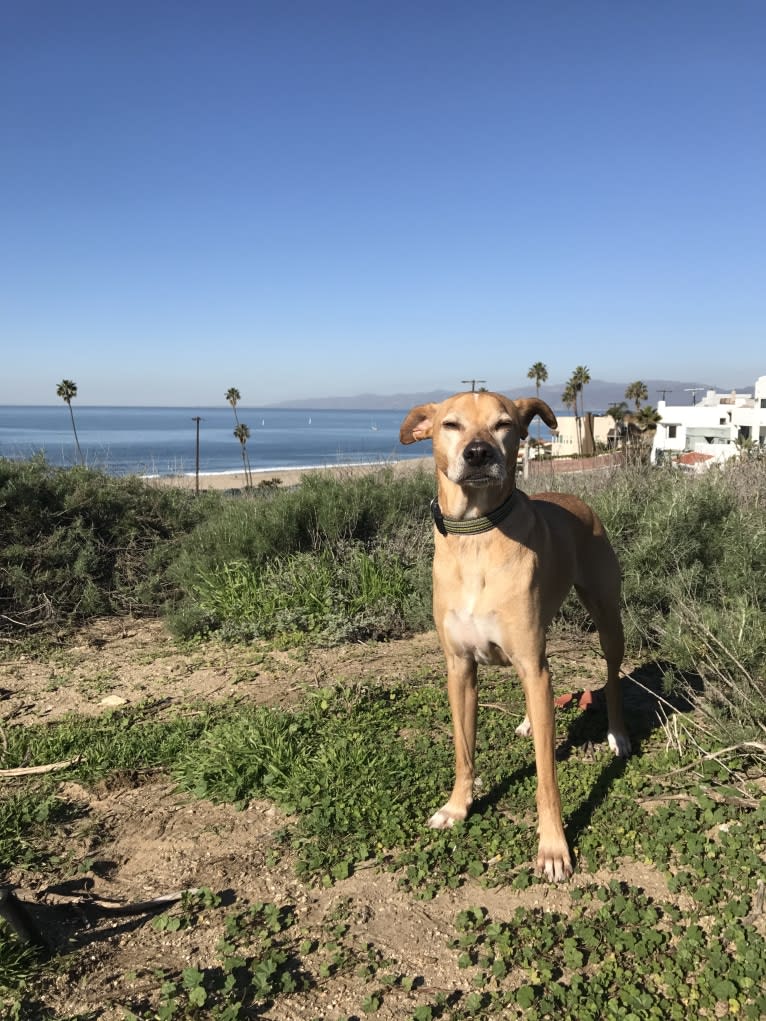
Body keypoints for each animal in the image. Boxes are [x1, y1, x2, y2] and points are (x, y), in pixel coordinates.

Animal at [402, 385, 629, 882]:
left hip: (607, 619)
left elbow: (547, 778)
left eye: (504, 424)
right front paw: (457, 807)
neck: (476, 538)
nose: (478, 453)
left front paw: (553, 848)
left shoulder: (532, 663)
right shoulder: (460, 668)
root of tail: (576, 499)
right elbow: (464, 751)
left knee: (612, 675)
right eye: (451, 424)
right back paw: (528, 719)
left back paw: (617, 735)